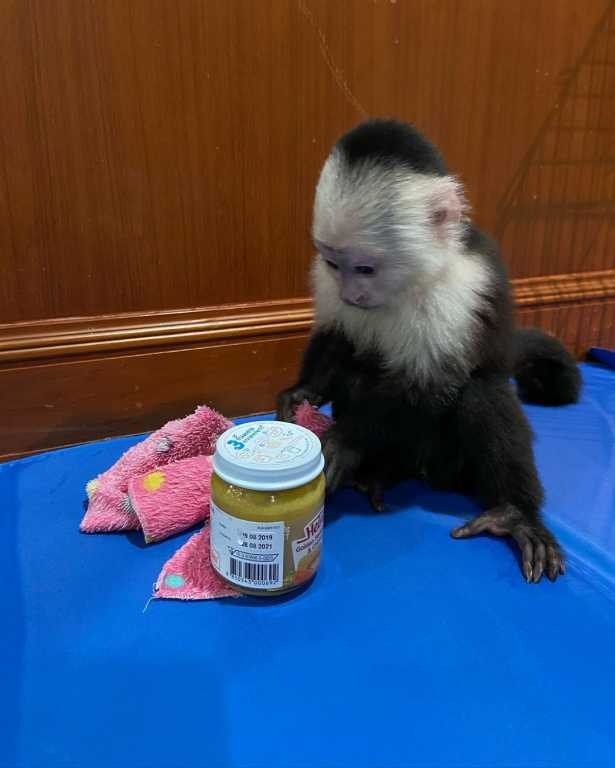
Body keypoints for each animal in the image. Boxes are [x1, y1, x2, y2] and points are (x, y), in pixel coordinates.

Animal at [277, 118, 581, 584]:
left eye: (365, 268)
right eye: (333, 263)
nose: (351, 294)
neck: (409, 281)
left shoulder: (460, 289)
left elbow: (429, 384)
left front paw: (342, 440)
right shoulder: (328, 283)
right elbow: (338, 337)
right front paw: (301, 393)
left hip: (454, 464)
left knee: (480, 392)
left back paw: (515, 513)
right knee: (358, 371)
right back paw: (381, 473)